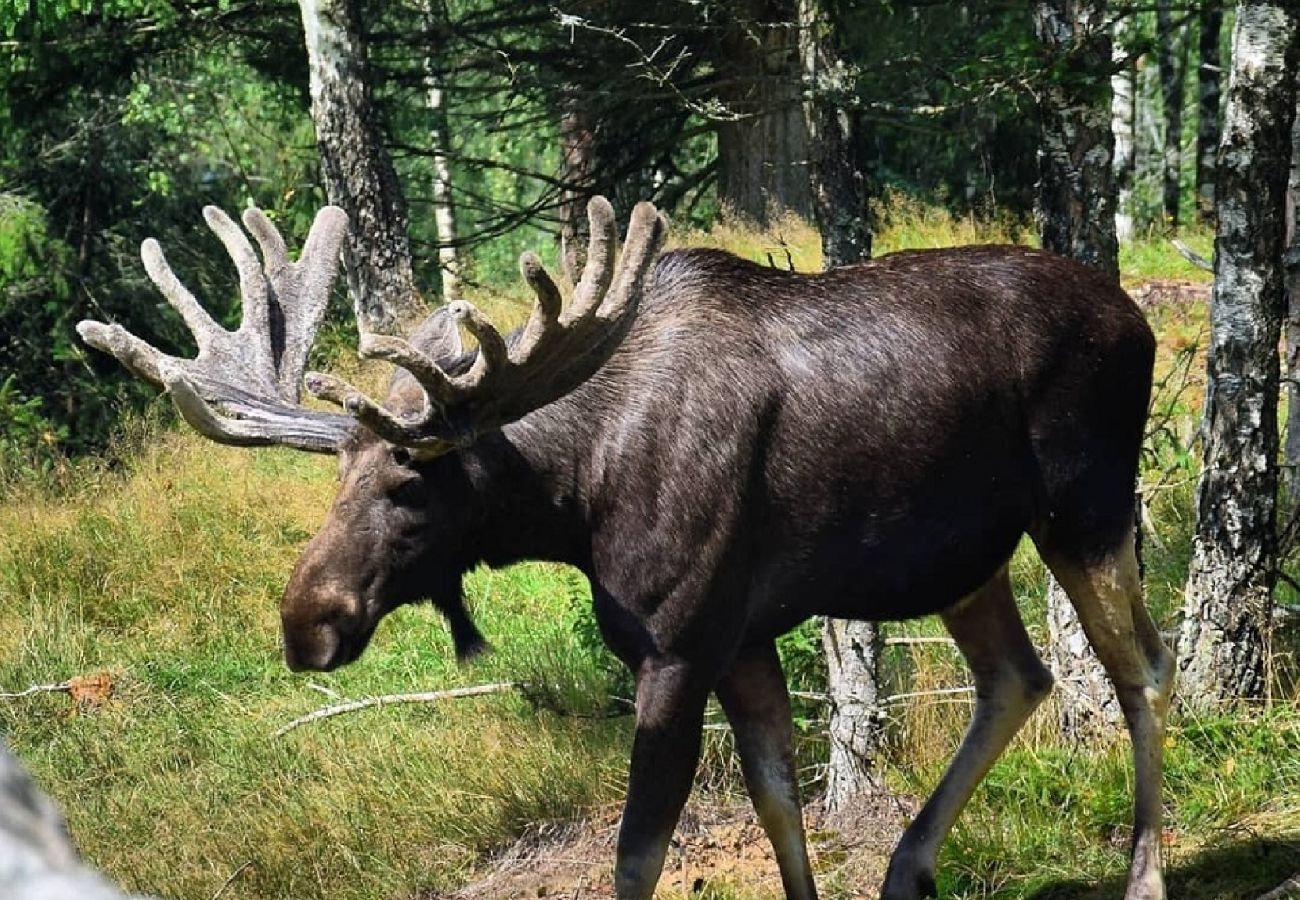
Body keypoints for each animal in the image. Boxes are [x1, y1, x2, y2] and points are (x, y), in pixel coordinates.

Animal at [83, 198, 1180, 900]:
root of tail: (1136, 314)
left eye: (410, 483)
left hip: (1086, 507)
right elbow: (779, 803)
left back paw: (1143, 876)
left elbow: (637, 854)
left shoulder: (677, 645)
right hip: (963, 558)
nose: (306, 622)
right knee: (1019, 676)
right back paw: (908, 867)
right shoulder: (741, 637)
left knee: (1141, 668)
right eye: (335, 479)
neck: (573, 498)